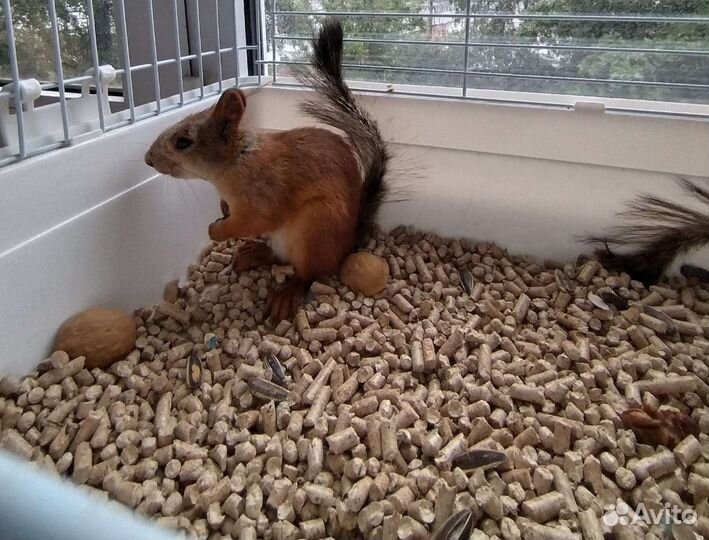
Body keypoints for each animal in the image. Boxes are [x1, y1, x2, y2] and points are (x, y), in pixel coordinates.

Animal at [145, 20, 389, 322]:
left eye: (183, 141)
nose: (148, 159)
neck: (236, 162)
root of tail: (348, 244)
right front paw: (222, 210)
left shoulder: (263, 198)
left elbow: (250, 221)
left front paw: (216, 230)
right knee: (282, 258)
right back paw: (254, 253)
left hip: (315, 229)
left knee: (308, 272)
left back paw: (286, 293)